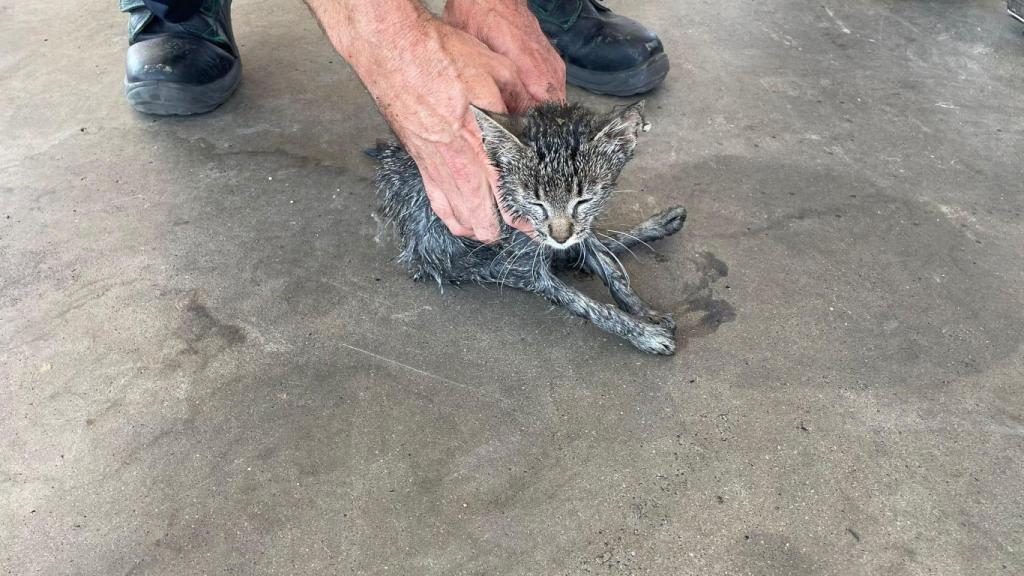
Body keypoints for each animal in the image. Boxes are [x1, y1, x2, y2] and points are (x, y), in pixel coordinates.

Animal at [372, 101, 684, 354]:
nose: (560, 237)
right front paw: (642, 332)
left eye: (583, 200)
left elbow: (609, 267)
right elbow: (585, 304)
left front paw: (643, 311)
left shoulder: (578, 229)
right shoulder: (519, 266)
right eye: (535, 202)